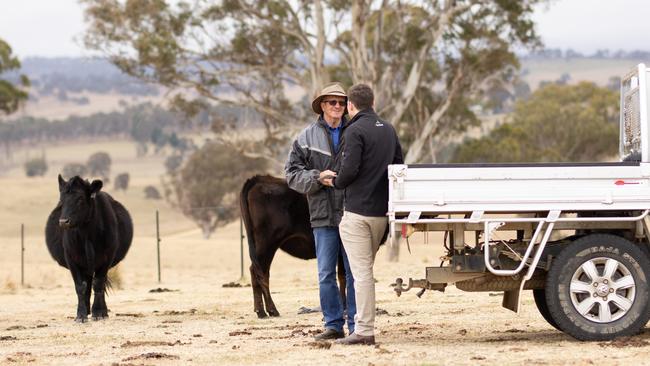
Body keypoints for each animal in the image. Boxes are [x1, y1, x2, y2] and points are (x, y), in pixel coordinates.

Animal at [45, 176, 133, 322]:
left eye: (80, 199)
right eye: (62, 200)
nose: (63, 222)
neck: (86, 235)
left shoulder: (107, 258)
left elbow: (98, 284)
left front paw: (98, 313)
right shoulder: (71, 259)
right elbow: (80, 286)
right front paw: (80, 315)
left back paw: (102, 311)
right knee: (87, 285)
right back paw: (86, 310)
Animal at [239, 174, 350, 318]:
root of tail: (260, 179)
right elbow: (343, 276)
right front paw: (344, 307)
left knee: (261, 272)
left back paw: (263, 311)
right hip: (267, 244)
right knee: (259, 272)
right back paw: (269, 310)